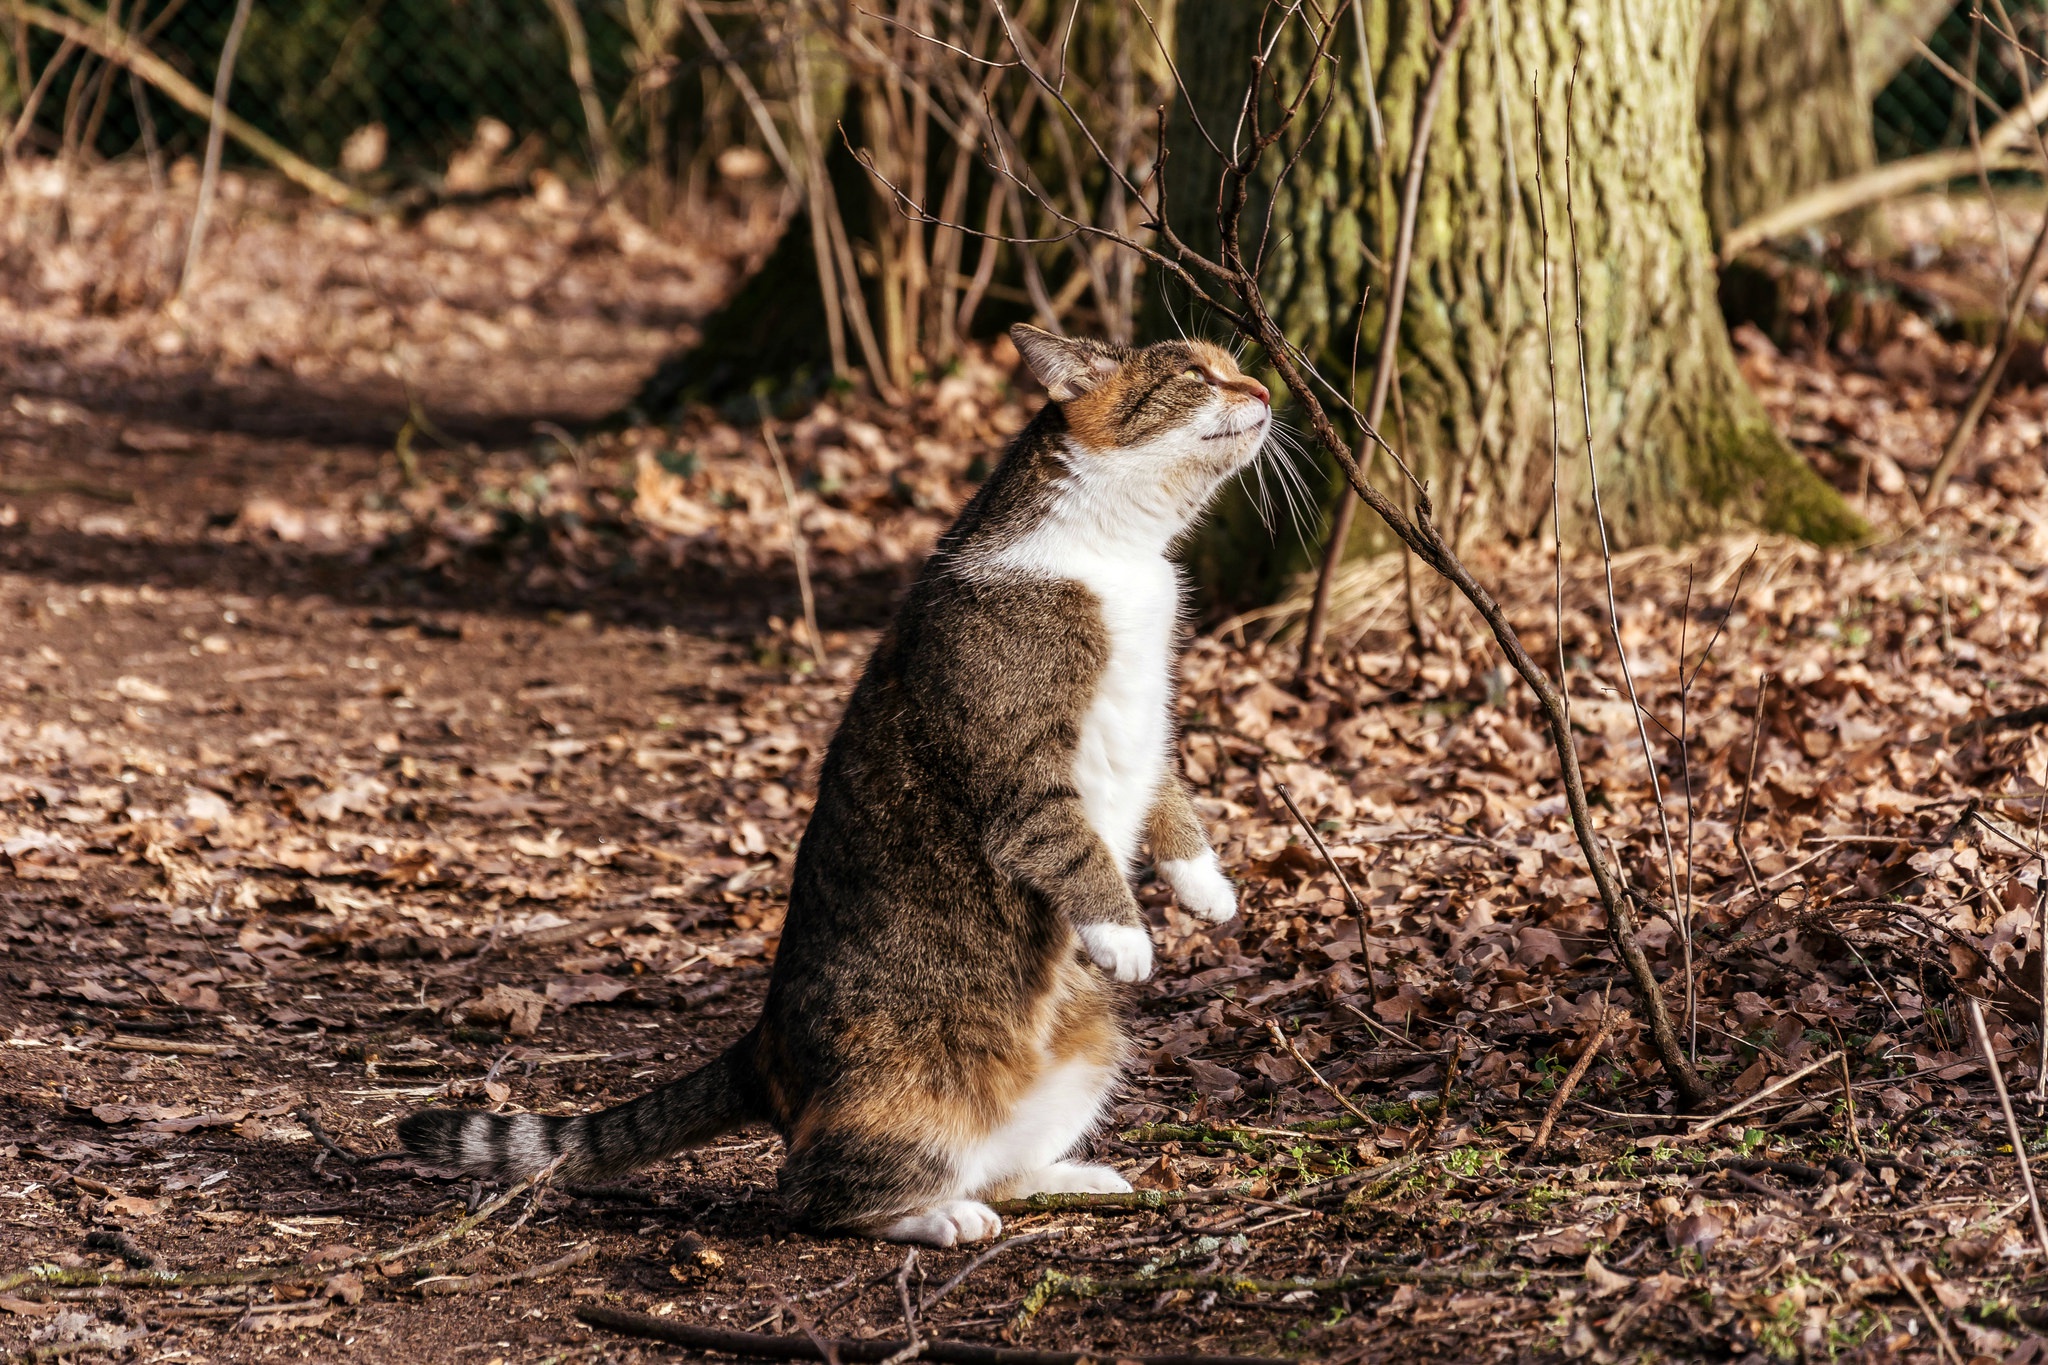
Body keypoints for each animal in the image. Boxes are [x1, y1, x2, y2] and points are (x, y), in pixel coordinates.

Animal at [395, 325, 1261, 1244]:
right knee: (815, 1190)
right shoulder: (1018, 759)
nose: (1267, 390)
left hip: (1090, 1049)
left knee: (995, 1162)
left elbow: (1168, 791)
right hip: (908, 1086)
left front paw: (1205, 884)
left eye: (1234, 366)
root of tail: (762, 1044)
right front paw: (1126, 934)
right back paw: (937, 1218)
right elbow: (1069, 840)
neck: (1123, 557)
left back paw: (1062, 1176)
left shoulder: (1149, 721)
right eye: (1197, 374)